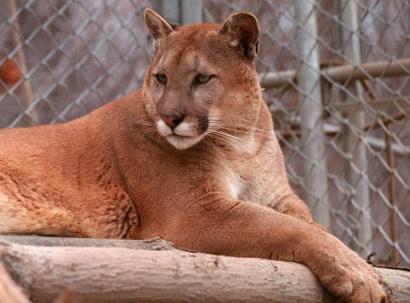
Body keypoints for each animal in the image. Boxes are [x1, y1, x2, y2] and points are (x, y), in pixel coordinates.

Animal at [0, 8, 384, 302]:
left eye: (202, 78)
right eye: (161, 77)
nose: (170, 117)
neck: (241, 142)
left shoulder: (277, 196)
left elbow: (312, 224)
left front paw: (355, 261)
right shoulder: (195, 210)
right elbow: (282, 226)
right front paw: (357, 274)